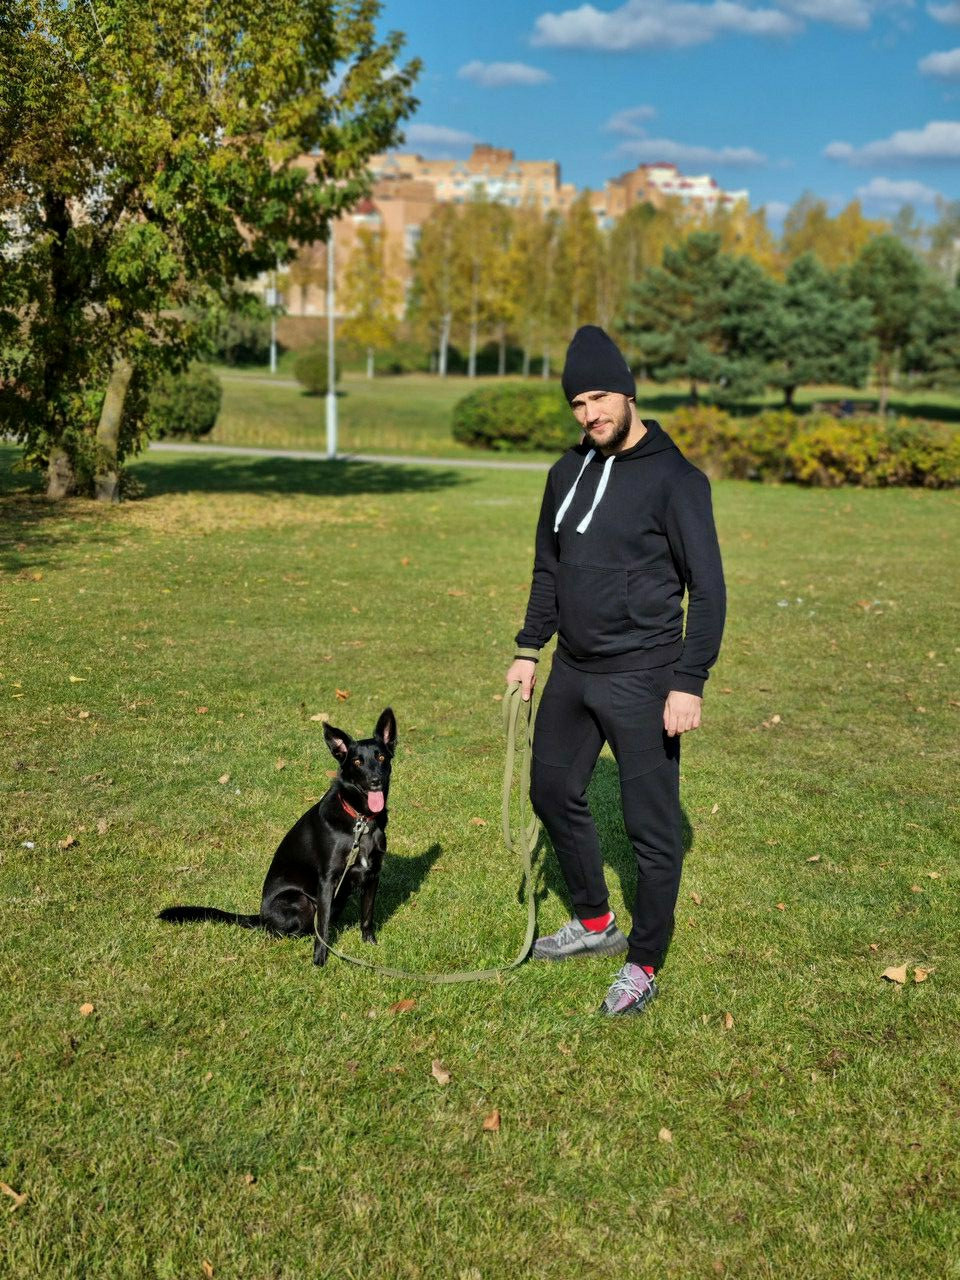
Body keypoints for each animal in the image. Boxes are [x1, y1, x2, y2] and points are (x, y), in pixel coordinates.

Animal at [160, 706, 396, 962]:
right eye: (357, 761)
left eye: (381, 758)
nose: (375, 781)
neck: (361, 820)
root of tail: (259, 915)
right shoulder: (327, 880)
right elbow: (322, 927)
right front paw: (319, 960)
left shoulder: (372, 874)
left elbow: (367, 915)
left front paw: (369, 944)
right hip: (300, 901)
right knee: (283, 929)